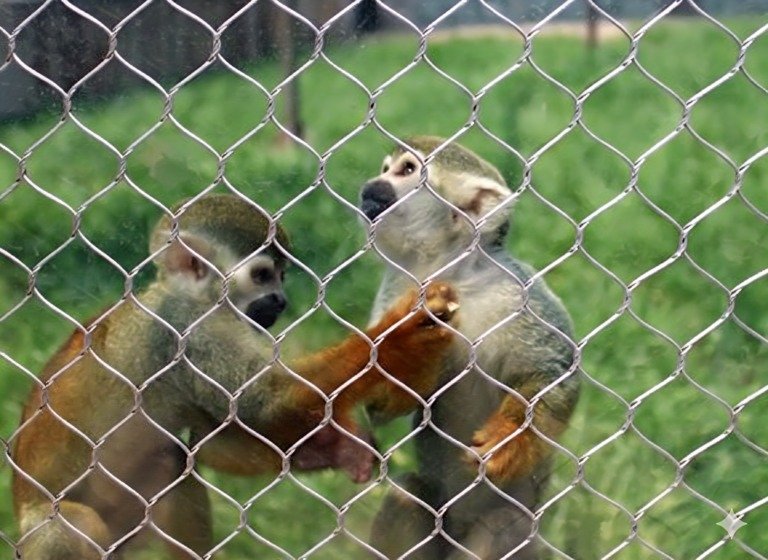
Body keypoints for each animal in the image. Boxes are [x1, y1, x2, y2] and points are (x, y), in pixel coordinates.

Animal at [10, 193, 460, 560]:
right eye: (262, 276)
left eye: (282, 275)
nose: (280, 300)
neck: (199, 298)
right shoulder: (192, 333)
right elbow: (266, 403)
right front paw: (397, 337)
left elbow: (216, 438)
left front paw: (337, 448)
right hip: (43, 525)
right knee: (68, 528)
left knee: (172, 462)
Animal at [359, 137, 579, 559]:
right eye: (384, 168)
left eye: (406, 170)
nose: (369, 187)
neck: (450, 273)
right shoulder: (397, 288)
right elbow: (379, 402)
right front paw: (411, 339)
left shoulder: (517, 292)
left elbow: (552, 373)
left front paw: (507, 439)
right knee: (407, 495)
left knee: (505, 523)